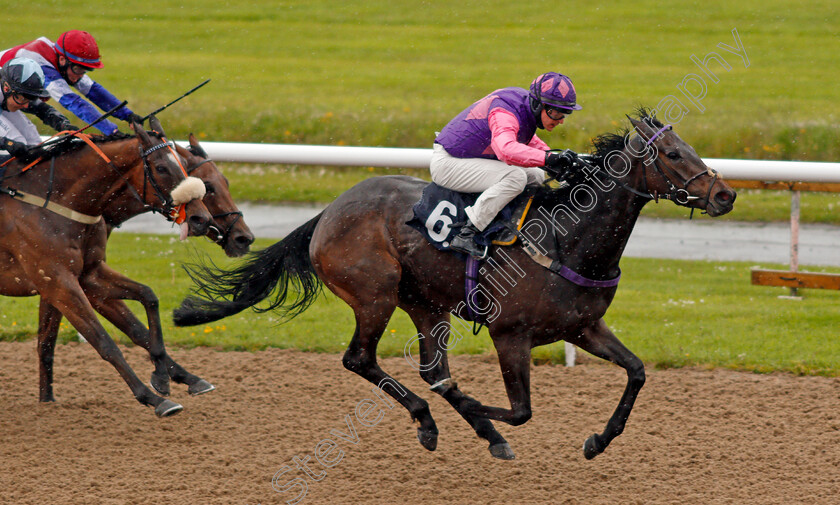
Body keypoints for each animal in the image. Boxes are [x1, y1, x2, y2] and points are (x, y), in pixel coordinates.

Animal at [0, 123, 210, 418]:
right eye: (161, 168)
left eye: (182, 164)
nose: (201, 218)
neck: (52, 202)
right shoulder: (57, 283)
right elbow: (104, 341)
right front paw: (153, 398)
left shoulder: (88, 275)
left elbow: (148, 298)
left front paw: (163, 377)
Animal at [32, 117, 254, 402]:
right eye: (209, 186)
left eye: (225, 181)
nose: (244, 238)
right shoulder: (60, 277)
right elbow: (129, 328)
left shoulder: (71, 277)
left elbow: (134, 329)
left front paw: (184, 378)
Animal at [172, 111, 736, 456]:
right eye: (673, 155)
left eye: (689, 146)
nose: (725, 194)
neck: (567, 238)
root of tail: (329, 211)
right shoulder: (510, 335)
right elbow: (520, 411)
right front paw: (482, 414)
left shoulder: (583, 328)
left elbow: (637, 372)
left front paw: (599, 439)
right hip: (376, 295)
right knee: (365, 360)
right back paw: (434, 419)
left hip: (426, 303)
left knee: (432, 368)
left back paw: (460, 425)